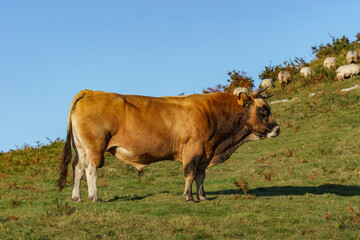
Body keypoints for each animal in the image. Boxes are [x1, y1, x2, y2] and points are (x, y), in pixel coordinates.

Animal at [57, 87, 282, 202]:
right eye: (263, 111)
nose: (277, 129)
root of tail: (90, 91)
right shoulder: (193, 148)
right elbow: (190, 173)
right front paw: (188, 197)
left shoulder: (205, 152)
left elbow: (201, 176)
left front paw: (203, 197)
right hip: (95, 146)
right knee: (91, 169)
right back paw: (94, 197)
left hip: (81, 147)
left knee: (78, 168)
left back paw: (76, 197)